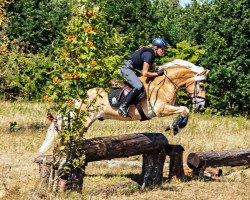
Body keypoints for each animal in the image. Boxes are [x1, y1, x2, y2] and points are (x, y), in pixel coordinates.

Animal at [37, 59, 209, 153]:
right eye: (201, 86)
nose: (201, 107)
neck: (166, 83)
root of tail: (75, 99)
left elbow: (184, 111)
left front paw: (175, 125)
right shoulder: (160, 109)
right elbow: (184, 110)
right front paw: (175, 126)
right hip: (82, 121)